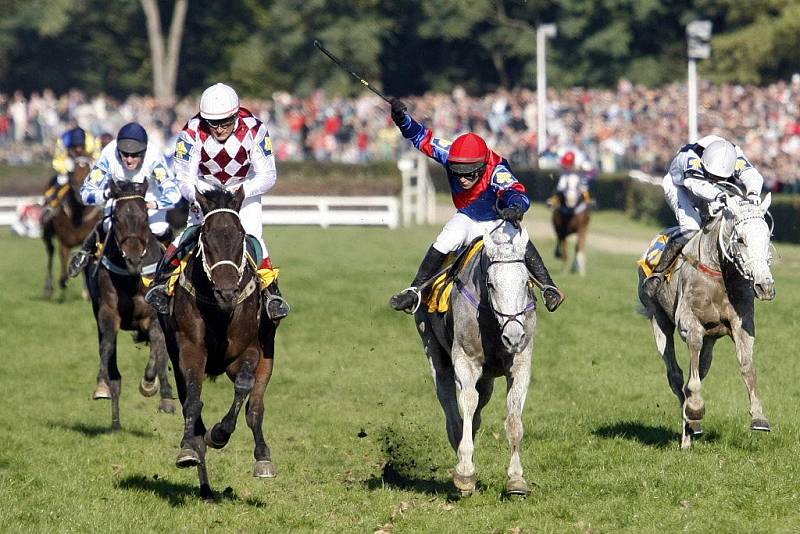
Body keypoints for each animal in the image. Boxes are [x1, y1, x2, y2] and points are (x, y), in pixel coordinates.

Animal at [42, 158, 102, 302]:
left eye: (88, 173)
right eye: (73, 176)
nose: (81, 195)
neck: (78, 215)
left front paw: (87, 292)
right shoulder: (64, 242)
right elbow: (64, 274)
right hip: (47, 233)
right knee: (50, 251)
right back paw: (48, 289)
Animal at [84, 182, 175, 434]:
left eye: (145, 216)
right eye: (116, 218)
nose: (134, 259)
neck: (132, 277)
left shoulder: (154, 315)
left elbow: (159, 352)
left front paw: (157, 390)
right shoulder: (107, 312)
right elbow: (107, 348)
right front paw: (101, 386)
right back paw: (115, 424)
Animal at [159, 187, 278, 502]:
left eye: (240, 235)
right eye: (206, 236)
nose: (227, 292)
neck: (220, 311)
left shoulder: (249, 350)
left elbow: (244, 389)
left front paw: (220, 433)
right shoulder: (189, 351)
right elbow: (193, 400)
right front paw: (188, 448)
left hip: (268, 354)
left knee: (255, 409)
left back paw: (263, 459)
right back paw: (205, 486)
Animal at [412, 222, 536, 498]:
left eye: (526, 282)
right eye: (491, 283)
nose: (514, 336)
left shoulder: (521, 364)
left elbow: (514, 419)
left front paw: (516, 479)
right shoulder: (465, 361)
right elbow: (467, 402)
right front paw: (466, 472)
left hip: (488, 377)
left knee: (480, 407)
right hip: (434, 350)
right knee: (450, 401)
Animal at [636, 188, 776, 452]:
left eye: (767, 238)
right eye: (740, 239)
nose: (765, 287)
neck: (720, 274)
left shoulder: (742, 324)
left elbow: (747, 367)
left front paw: (759, 417)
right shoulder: (689, 323)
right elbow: (691, 372)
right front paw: (694, 410)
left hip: (711, 339)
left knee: (701, 368)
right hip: (658, 319)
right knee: (676, 376)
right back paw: (688, 429)